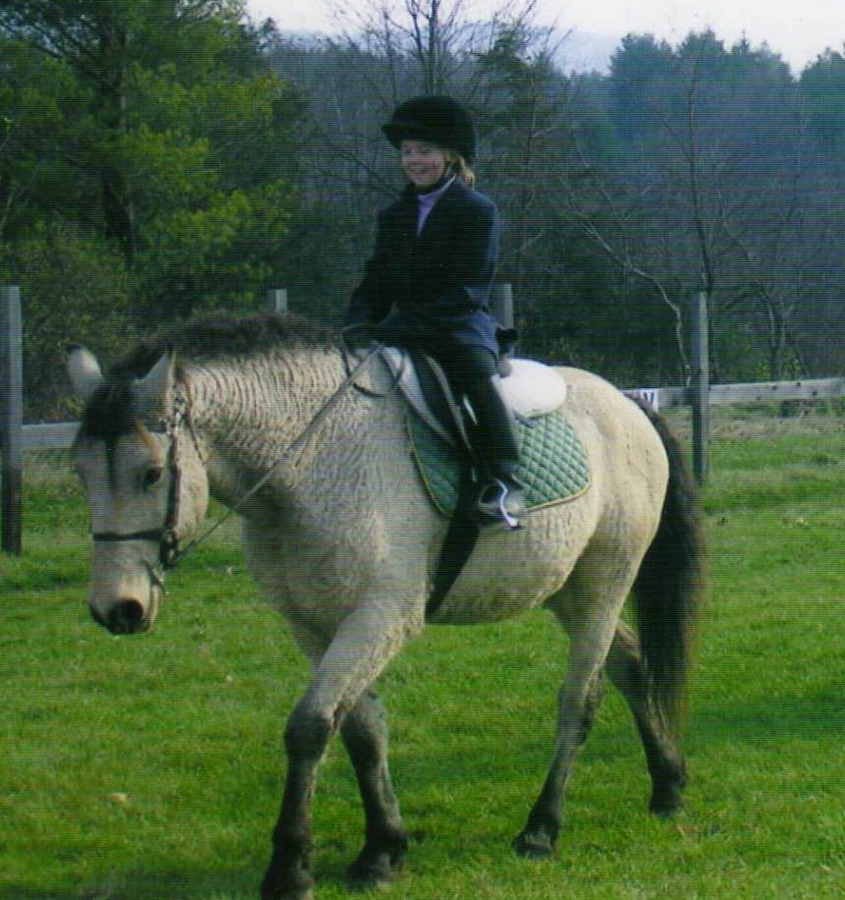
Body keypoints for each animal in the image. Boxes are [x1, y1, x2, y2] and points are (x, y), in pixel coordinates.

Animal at [66, 312, 704, 900]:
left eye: (151, 473)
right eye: (81, 473)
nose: (117, 609)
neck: (311, 462)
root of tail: (626, 404)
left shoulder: (382, 617)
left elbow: (309, 726)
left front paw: (290, 868)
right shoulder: (314, 625)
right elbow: (361, 729)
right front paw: (381, 850)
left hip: (604, 584)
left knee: (580, 700)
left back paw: (542, 828)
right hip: (567, 591)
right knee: (630, 667)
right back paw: (667, 785)